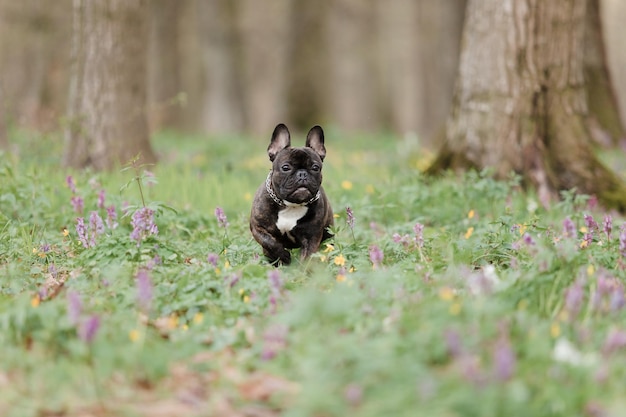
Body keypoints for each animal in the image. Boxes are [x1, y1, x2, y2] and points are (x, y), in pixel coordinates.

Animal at [251, 122, 334, 264]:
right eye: (286, 167)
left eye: (315, 167)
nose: (302, 174)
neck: (291, 205)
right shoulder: (258, 227)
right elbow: (268, 242)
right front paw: (282, 255)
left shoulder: (311, 237)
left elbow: (307, 256)